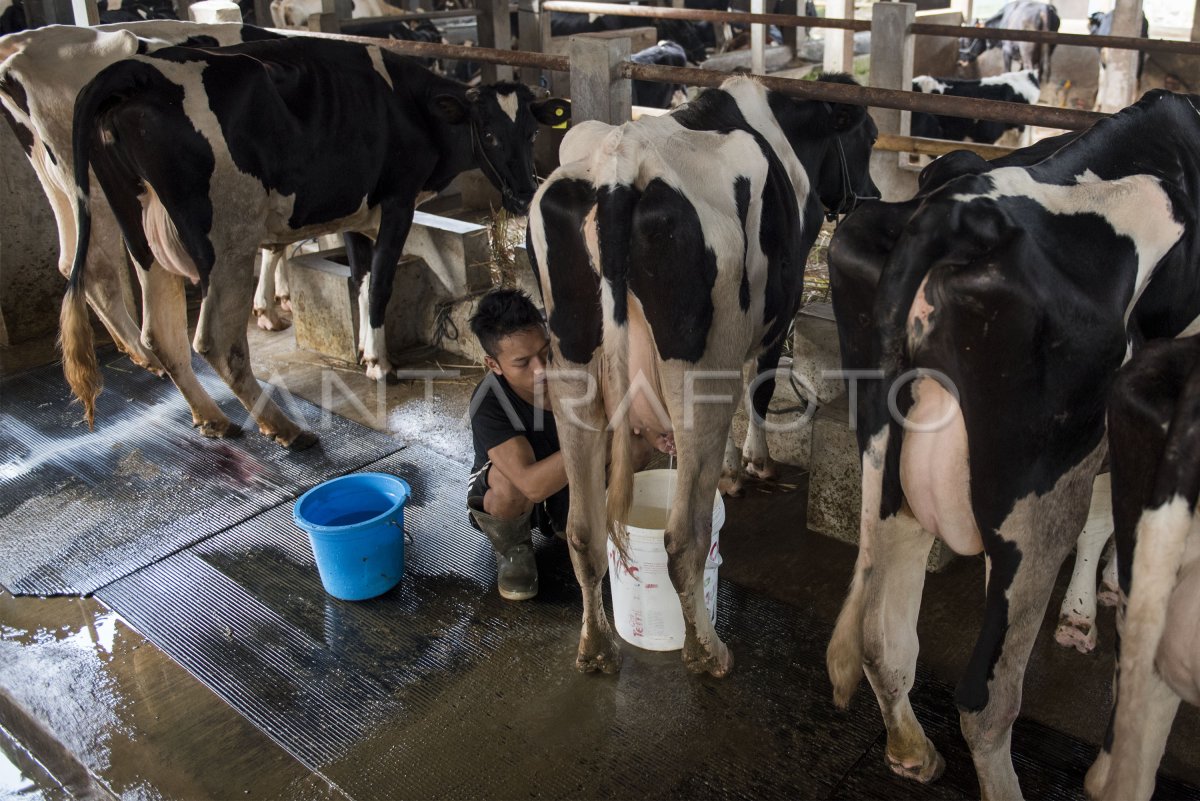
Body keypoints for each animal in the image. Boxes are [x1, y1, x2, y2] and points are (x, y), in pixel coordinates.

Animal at [63, 34, 568, 448]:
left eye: (531, 132)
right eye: (489, 133)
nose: (524, 192)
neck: (408, 107)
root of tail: (135, 71)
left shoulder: (358, 207)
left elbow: (361, 280)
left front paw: (365, 349)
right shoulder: (398, 199)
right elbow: (380, 283)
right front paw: (381, 365)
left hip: (142, 236)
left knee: (162, 334)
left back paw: (212, 419)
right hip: (226, 240)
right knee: (215, 341)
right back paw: (283, 427)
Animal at [530, 73, 878, 676]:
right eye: (870, 137)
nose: (873, 197)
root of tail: (618, 165)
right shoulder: (776, 316)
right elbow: (759, 389)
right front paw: (751, 465)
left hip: (572, 367)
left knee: (583, 531)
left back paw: (595, 648)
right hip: (697, 375)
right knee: (682, 537)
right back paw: (708, 652)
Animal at [830, 90, 1200, 796]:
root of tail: (955, 211)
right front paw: (1088, 609)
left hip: (888, 471)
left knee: (882, 638)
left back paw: (913, 751)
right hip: (1038, 498)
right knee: (985, 699)